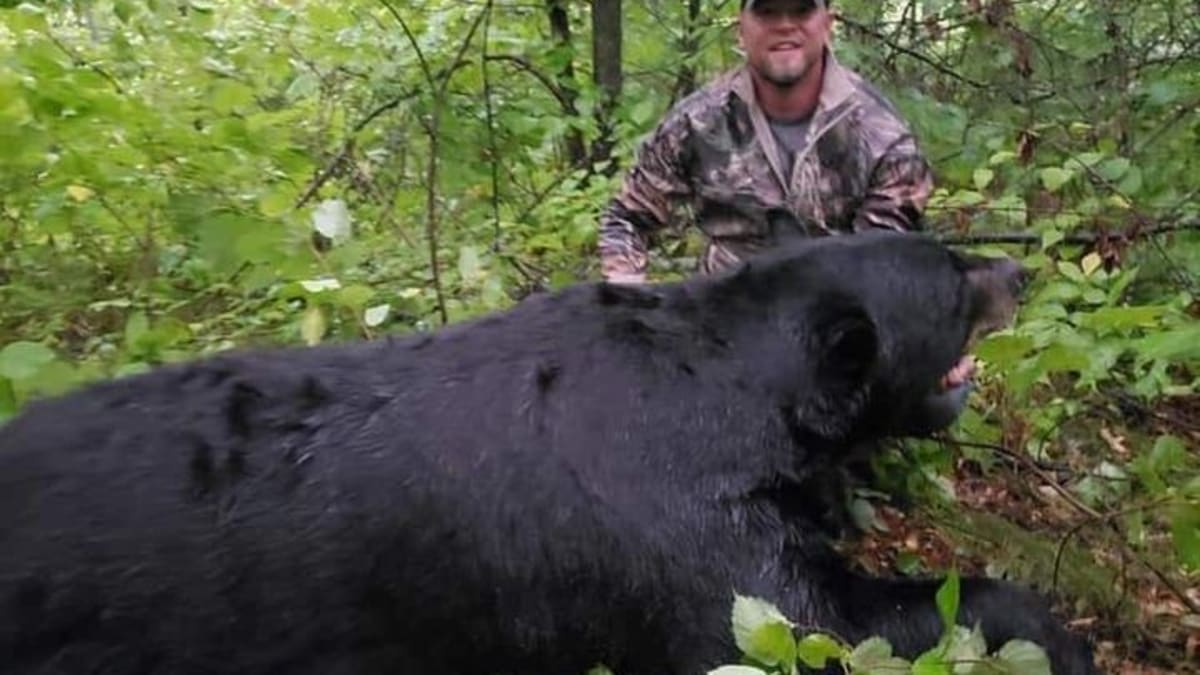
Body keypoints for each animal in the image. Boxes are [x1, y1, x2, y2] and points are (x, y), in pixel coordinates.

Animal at [0, 233, 1099, 672]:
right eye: (951, 279)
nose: (1019, 269)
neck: (727, 389)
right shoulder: (678, 531)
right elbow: (804, 623)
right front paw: (1061, 633)